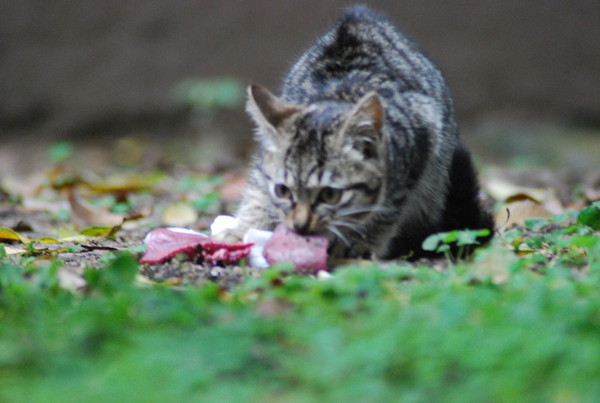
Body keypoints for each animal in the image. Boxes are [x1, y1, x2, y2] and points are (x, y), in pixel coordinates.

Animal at [220, 4, 492, 258]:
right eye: (283, 190)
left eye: (330, 194)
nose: (299, 226)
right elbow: (258, 192)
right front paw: (243, 229)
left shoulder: (421, 139)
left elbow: (385, 210)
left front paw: (360, 243)